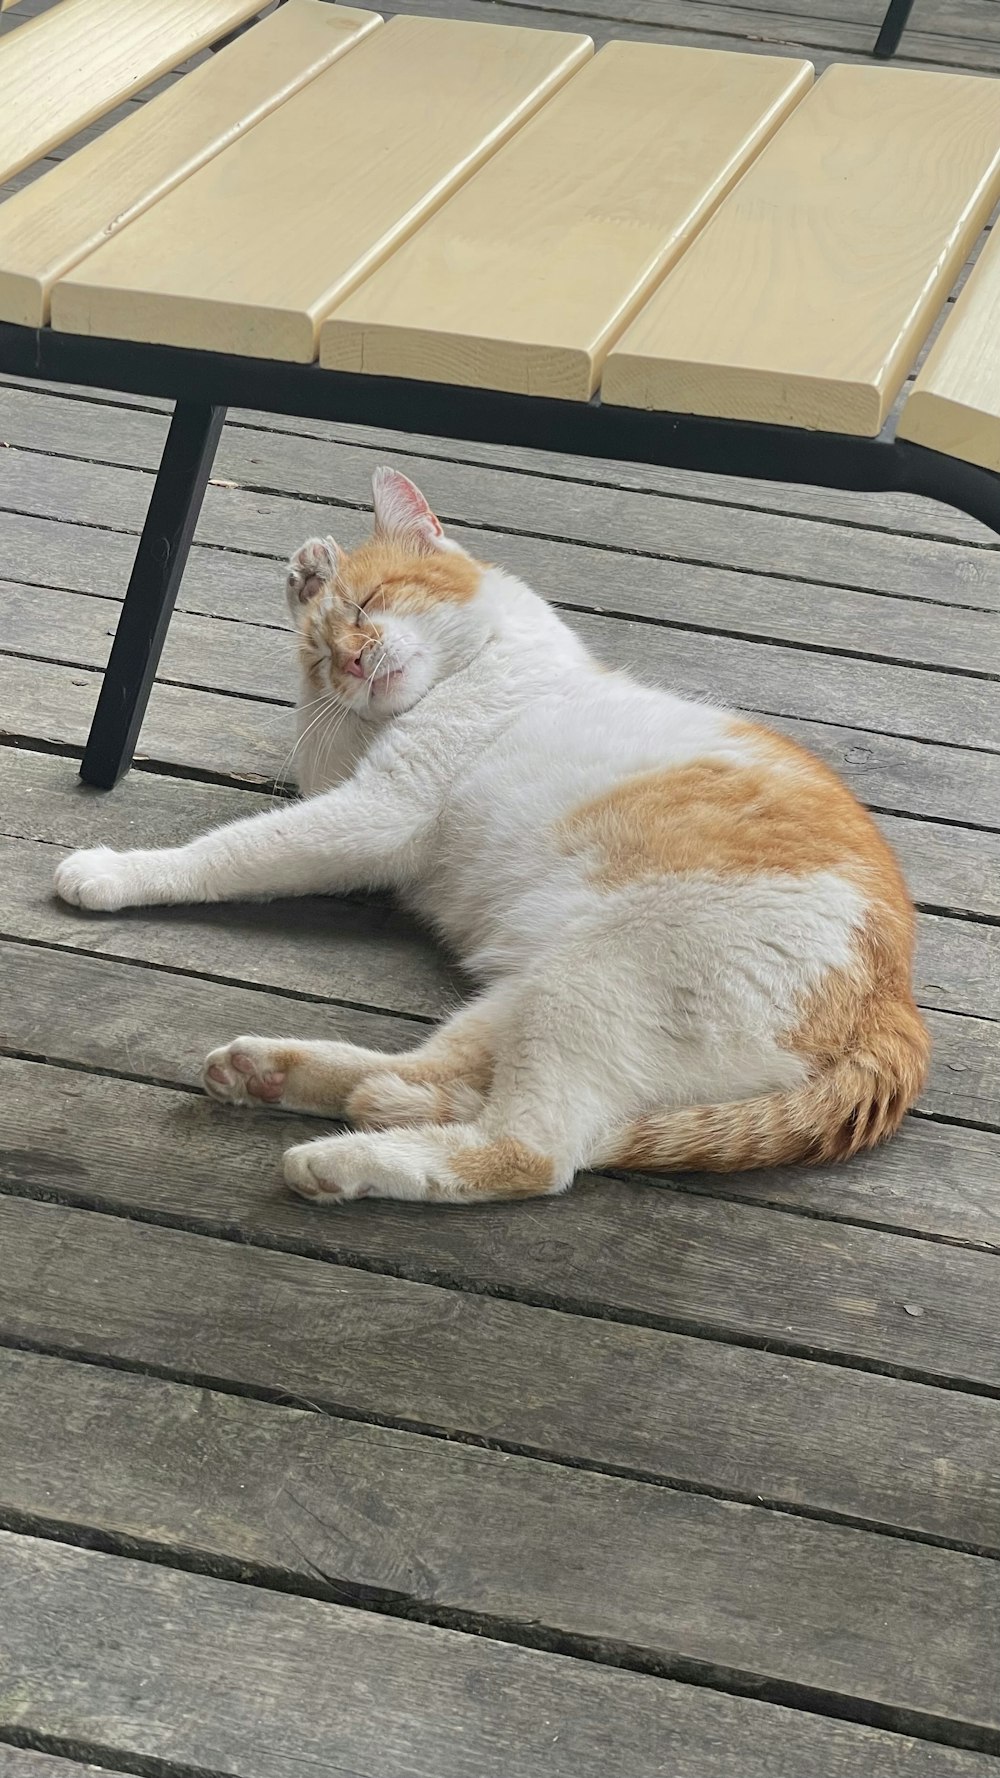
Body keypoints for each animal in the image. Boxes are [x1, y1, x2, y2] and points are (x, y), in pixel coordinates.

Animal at [54, 469, 925, 1209]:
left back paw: (343, 1161)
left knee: (531, 1152)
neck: (473, 667)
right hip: (530, 990)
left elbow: (231, 850)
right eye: (322, 654)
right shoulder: (343, 774)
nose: (352, 660)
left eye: (370, 602)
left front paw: (115, 871)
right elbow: (309, 748)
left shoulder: (379, 808)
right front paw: (305, 578)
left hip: (591, 981)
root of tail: (893, 1009)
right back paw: (279, 1073)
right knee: (447, 1080)